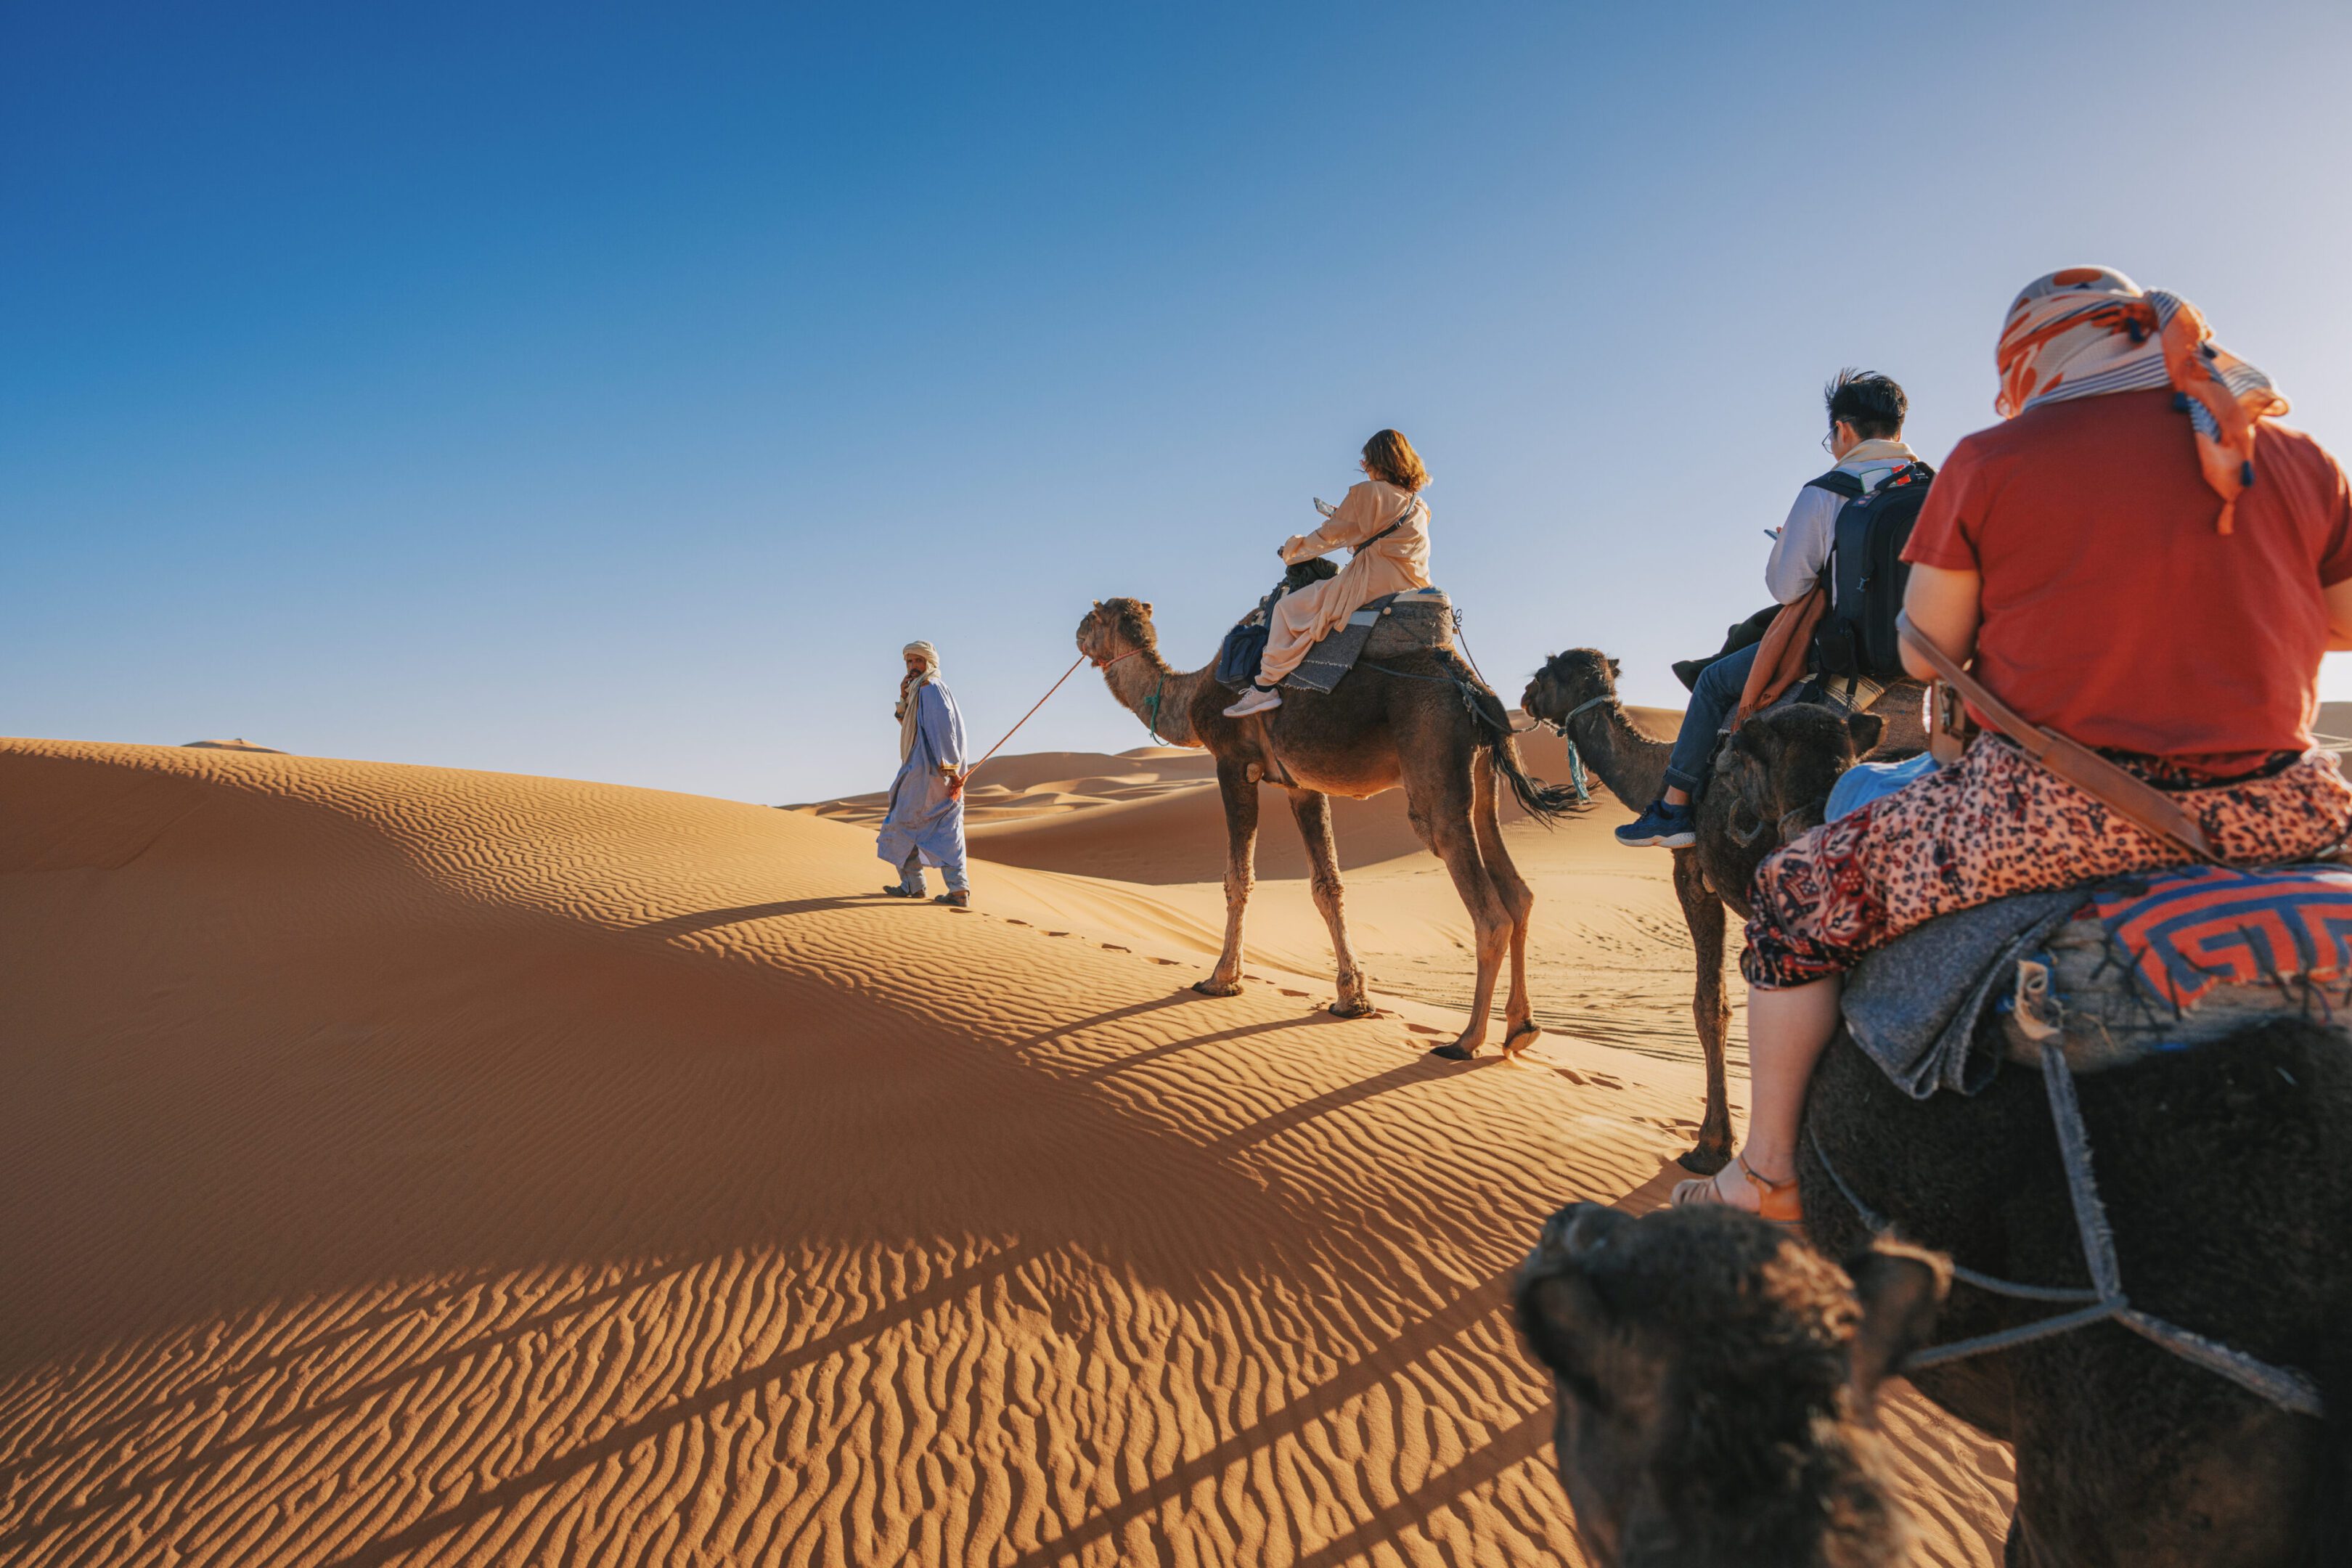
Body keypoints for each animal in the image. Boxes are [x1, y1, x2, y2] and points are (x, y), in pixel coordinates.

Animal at [1074, 597, 1575, 1059]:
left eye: (1094, 617)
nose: (1078, 634)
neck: (1193, 691)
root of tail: (1472, 686)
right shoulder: (1301, 785)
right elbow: (1326, 884)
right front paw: (1353, 999)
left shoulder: (1234, 764)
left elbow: (1239, 878)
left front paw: (1221, 979)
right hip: (1483, 777)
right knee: (1518, 894)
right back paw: (1521, 1027)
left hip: (1435, 770)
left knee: (1488, 912)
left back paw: (1465, 1040)